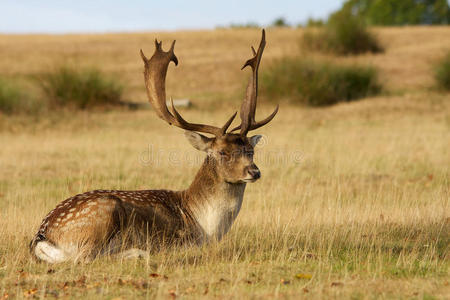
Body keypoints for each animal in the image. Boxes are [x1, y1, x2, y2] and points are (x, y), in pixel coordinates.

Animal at [29, 28, 278, 262]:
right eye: (222, 152)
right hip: (102, 214)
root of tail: (42, 235)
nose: (254, 171)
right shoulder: (181, 242)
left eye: (251, 150)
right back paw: (136, 252)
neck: (203, 225)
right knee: (85, 257)